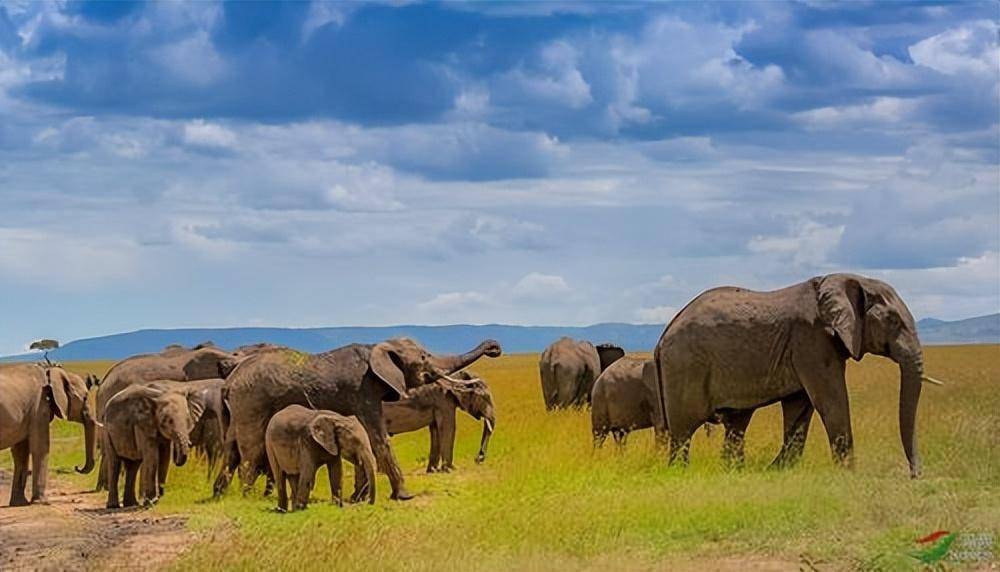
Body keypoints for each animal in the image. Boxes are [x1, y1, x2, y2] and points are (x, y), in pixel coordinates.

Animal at [0, 364, 97, 508]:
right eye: (85, 397)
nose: (77, 467)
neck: (50, 372)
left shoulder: (29, 414)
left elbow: (21, 452)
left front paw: (19, 503)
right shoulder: (39, 407)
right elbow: (41, 448)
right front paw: (42, 502)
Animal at [218, 338, 500, 498]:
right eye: (423, 358)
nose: (495, 348)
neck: (375, 348)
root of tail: (229, 382)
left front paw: (359, 498)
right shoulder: (363, 389)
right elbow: (378, 439)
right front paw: (405, 496)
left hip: (238, 409)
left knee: (232, 449)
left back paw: (222, 495)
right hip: (252, 403)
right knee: (251, 450)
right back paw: (248, 497)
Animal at [652, 272, 940, 478]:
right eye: (893, 321)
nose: (915, 475)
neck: (850, 279)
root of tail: (662, 337)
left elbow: (800, 407)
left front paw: (779, 470)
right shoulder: (811, 340)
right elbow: (830, 400)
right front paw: (848, 475)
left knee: (736, 424)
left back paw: (734, 473)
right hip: (685, 367)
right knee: (684, 431)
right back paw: (680, 473)